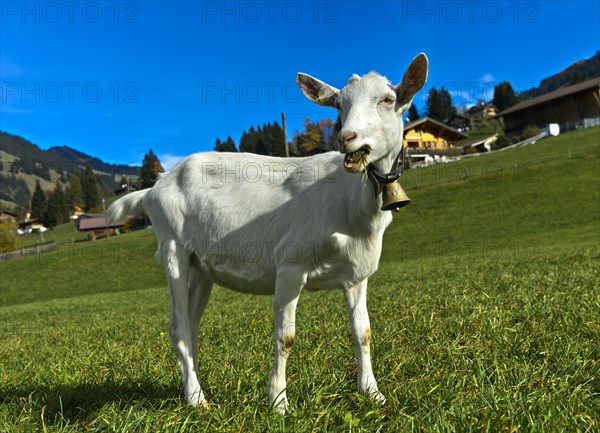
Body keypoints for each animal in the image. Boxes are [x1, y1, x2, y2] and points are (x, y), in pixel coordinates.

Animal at [106, 52, 426, 410]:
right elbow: (286, 337)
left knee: (191, 326)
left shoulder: (358, 274)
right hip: (172, 248)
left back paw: (193, 388)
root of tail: (152, 189)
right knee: (177, 327)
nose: (347, 138)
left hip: (198, 266)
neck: (350, 205)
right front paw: (278, 401)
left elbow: (364, 332)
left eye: (387, 100)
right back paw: (197, 399)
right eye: (339, 106)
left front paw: (372, 392)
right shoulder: (290, 264)